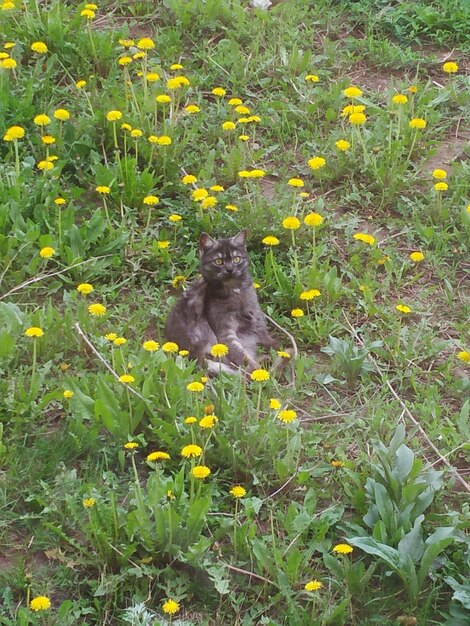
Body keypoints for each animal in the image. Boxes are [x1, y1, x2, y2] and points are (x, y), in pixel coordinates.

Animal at [165, 232, 276, 372]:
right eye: (218, 261)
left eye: (236, 259)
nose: (230, 269)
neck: (234, 290)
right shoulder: (224, 331)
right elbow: (239, 354)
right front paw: (257, 370)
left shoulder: (256, 314)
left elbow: (264, 335)